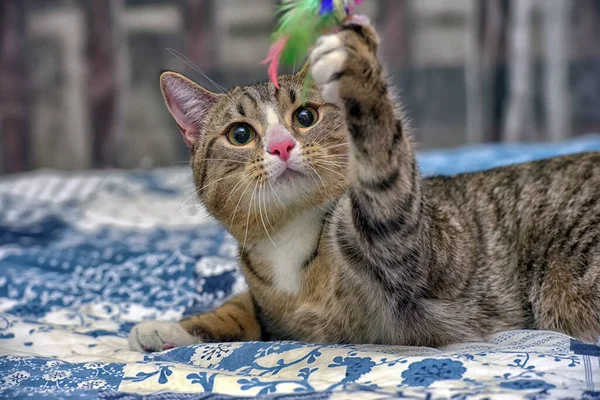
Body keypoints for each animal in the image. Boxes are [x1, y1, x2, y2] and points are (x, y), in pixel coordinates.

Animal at [127, 18, 600, 352]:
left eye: (305, 116)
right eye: (240, 134)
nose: (281, 145)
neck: (291, 238)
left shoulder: (416, 256)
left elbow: (385, 181)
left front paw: (357, 70)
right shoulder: (270, 305)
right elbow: (241, 306)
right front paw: (173, 327)